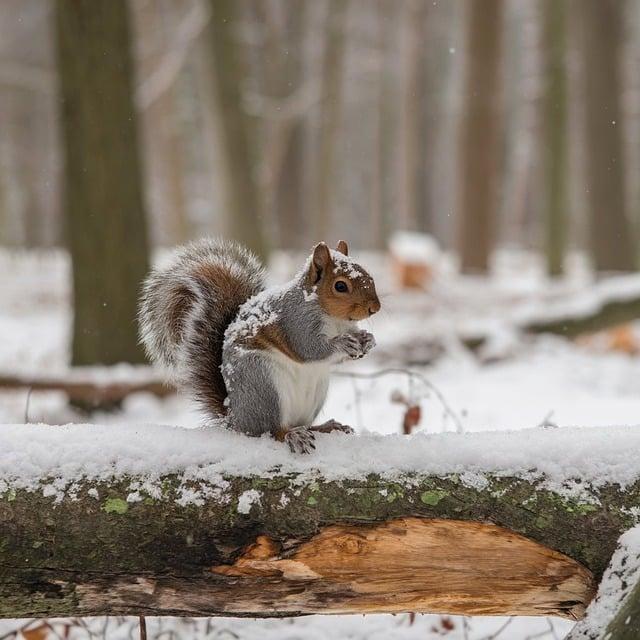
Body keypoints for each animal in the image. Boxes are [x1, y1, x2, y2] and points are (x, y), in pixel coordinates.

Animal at [139, 238, 380, 452]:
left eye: (369, 275)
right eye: (340, 286)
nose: (374, 308)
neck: (335, 320)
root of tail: (236, 419)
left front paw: (367, 340)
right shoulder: (295, 323)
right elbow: (309, 349)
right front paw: (343, 343)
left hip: (316, 390)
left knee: (301, 425)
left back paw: (325, 428)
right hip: (263, 384)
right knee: (271, 430)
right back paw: (292, 436)